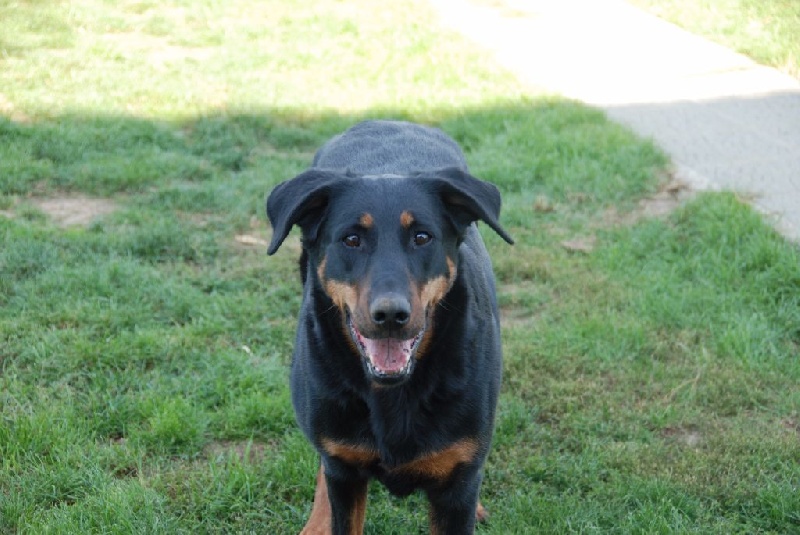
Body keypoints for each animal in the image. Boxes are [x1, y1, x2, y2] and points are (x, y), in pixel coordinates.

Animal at [268, 121, 512, 535]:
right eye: (351, 239)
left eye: (422, 237)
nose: (390, 315)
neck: (392, 392)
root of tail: (384, 122)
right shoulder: (345, 471)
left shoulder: (457, 484)